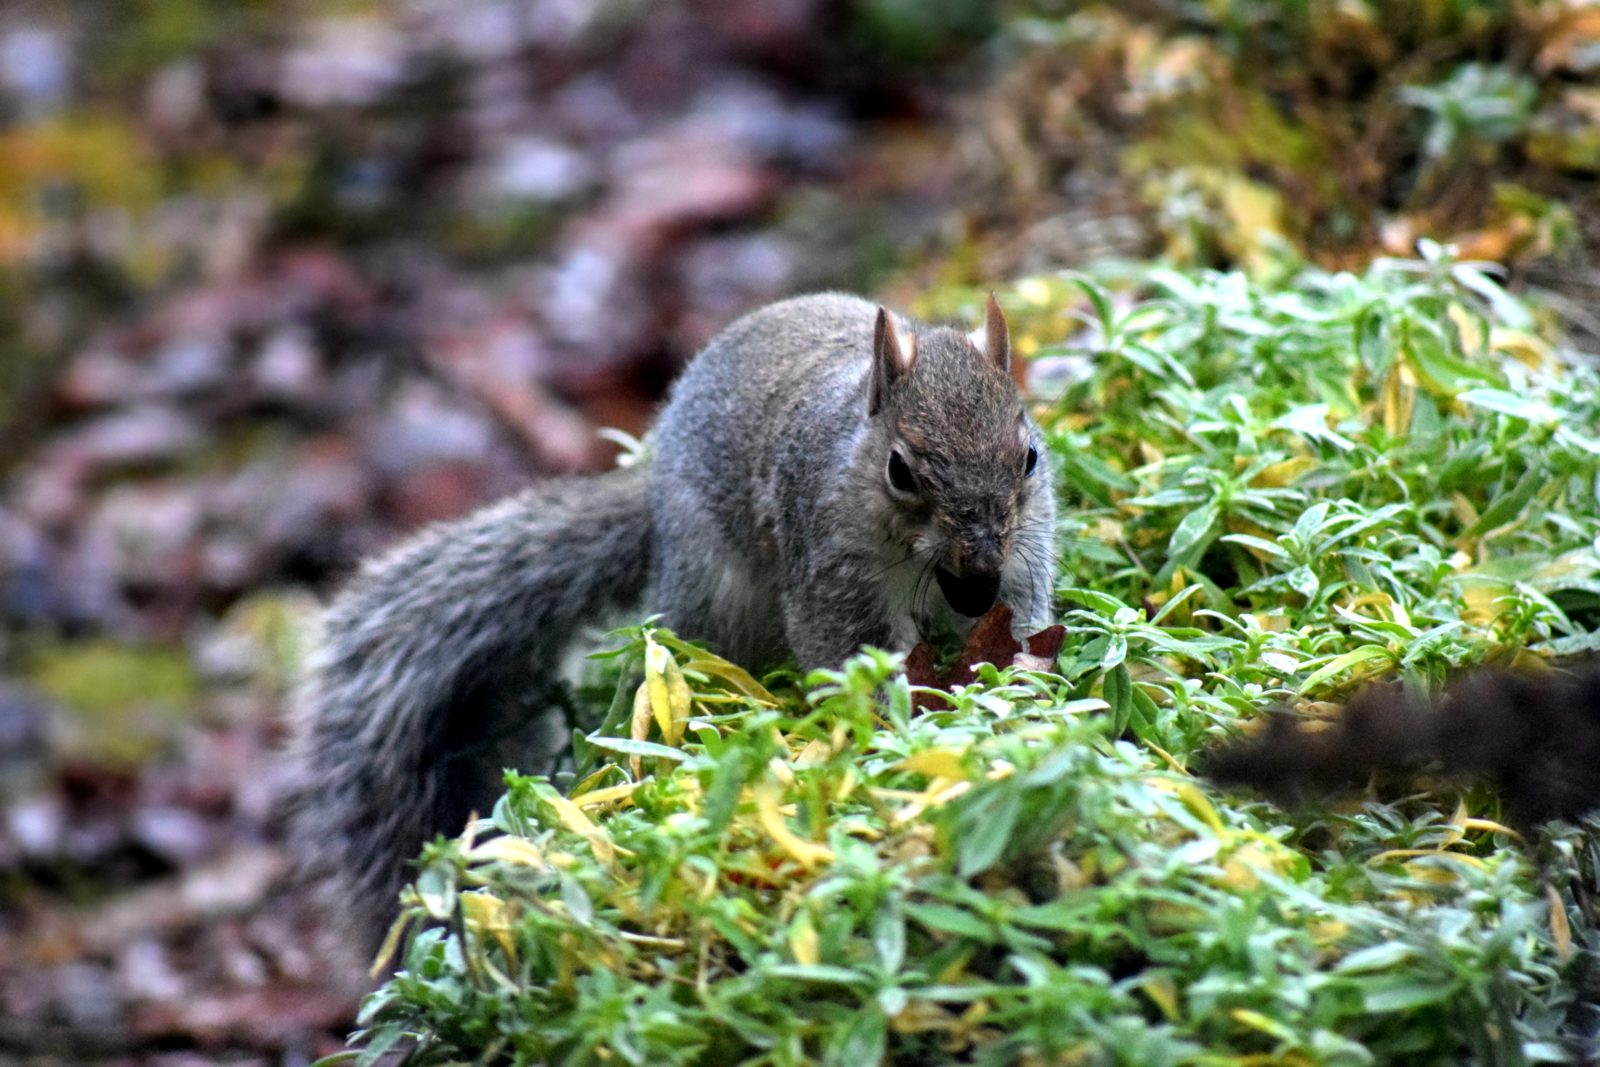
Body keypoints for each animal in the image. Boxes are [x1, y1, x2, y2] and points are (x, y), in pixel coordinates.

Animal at [287, 292, 1058, 951]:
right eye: (902, 471)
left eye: (1028, 456)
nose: (980, 557)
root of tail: (653, 497)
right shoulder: (829, 566)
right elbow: (846, 649)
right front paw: (888, 724)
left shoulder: (1022, 555)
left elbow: (1022, 612)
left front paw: (1021, 676)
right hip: (715, 597)